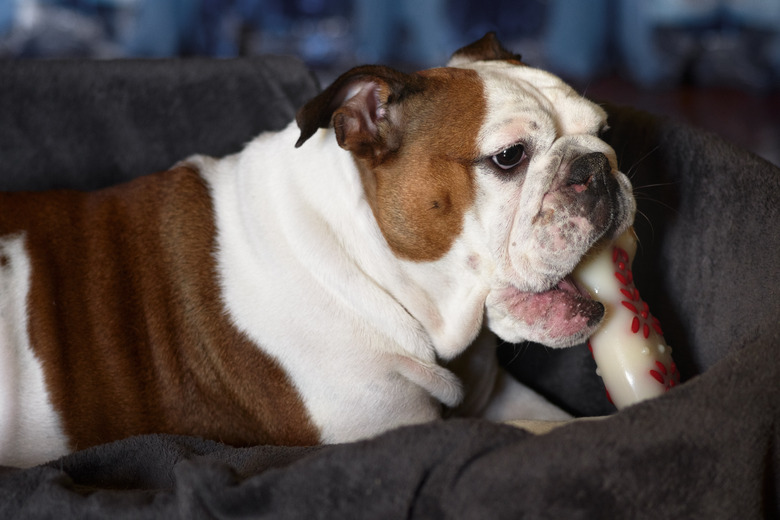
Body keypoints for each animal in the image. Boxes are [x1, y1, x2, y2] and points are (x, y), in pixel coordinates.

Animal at [1, 35, 632, 468]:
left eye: (605, 131)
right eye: (509, 157)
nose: (596, 167)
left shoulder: (498, 394)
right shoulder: (382, 433)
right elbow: (565, 431)